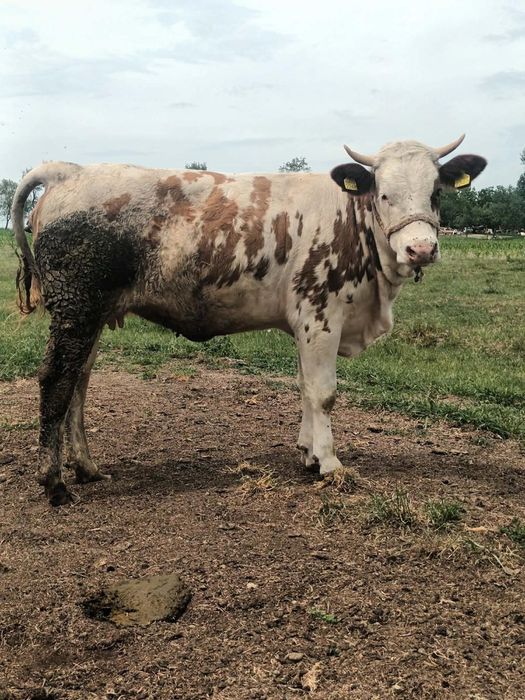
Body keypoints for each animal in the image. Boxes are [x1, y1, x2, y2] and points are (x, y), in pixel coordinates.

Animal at [12, 135, 486, 506]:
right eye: (383, 193)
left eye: (436, 193)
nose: (420, 249)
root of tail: (69, 172)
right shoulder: (321, 315)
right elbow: (324, 393)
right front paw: (330, 463)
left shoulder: (305, 325)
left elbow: (305, 389)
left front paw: (308, 452)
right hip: (76, 307)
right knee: (57, 379)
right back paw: (54, 483)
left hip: (90, 312)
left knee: (79, 381)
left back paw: (87, 468)